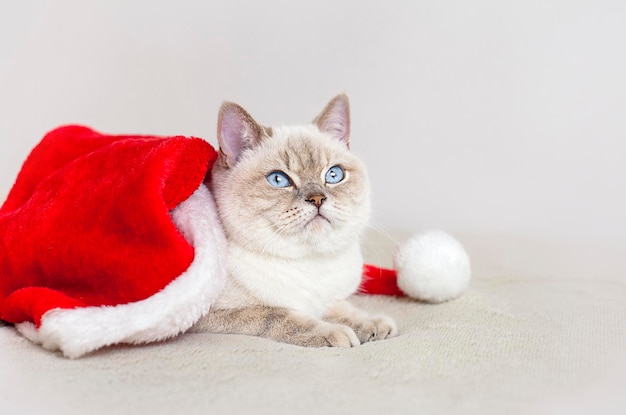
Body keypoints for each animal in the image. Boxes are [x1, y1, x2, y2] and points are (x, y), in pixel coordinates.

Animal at [190, 94, 398, 348]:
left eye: (334, 175)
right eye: (278, 179)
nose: (317, 198)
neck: (307, 261)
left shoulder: (328, 300)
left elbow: (343, 309)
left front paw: (372, 323)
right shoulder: (211, 314)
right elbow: (282, 315)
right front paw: (334, 333)